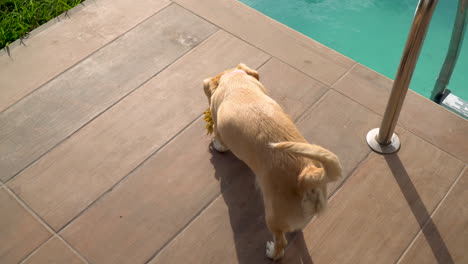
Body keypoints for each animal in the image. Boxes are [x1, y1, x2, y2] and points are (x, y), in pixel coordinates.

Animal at [203, 64, 342, 260]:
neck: (238, 83)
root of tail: (306, 175)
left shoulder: (218, 127)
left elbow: (219, 140)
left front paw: (216, 145)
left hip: (273, 216)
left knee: (281, 242)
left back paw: (272, 252)